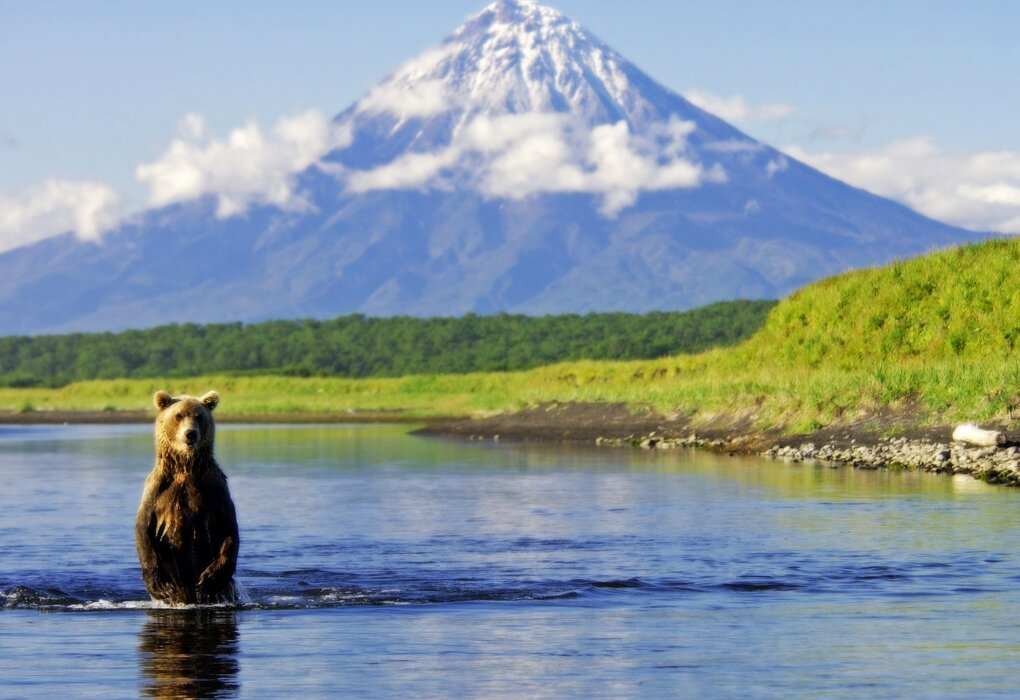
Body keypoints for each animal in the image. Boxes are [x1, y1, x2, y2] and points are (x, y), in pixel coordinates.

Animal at [135, 391, 238, 604]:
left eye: (199, 416)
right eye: (178, 415)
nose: (190, 434)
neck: (186, 467)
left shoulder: (215, 488)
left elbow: (228, 528)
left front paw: (209, 580)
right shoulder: (157, 490)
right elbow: (144, 529)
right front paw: (162, 587)